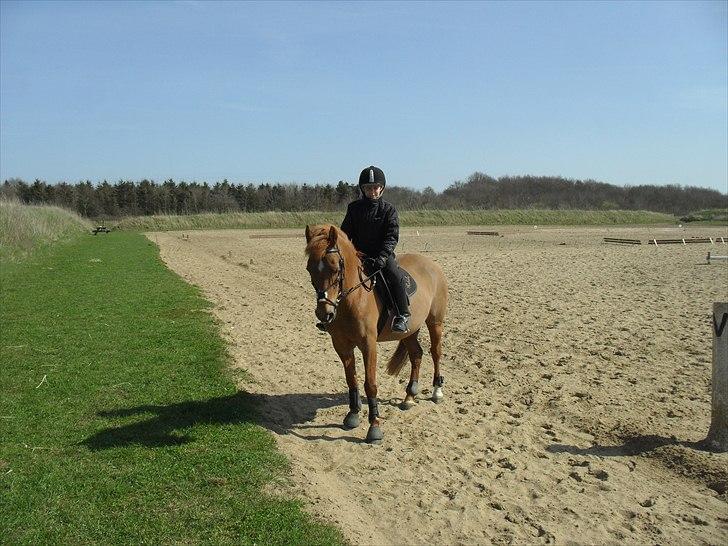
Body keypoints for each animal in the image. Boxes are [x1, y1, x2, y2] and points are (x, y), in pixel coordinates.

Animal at [302, 223, 450, 440]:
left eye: (335, 268)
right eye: (309, 268)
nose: (324, 313)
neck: (353, 299)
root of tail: (432, 265)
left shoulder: (368, 345)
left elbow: (370, 384)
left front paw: (374, 426)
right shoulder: (341, 345)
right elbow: (351, 379)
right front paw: (353, 415)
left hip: (435, 322)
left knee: (436, 352)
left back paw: (437, 391)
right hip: (410, 330)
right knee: (416, 354)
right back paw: (409, 396)